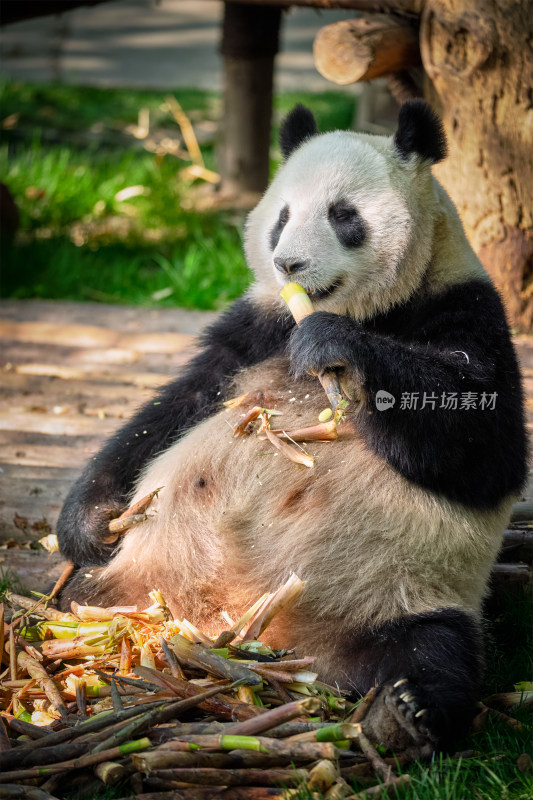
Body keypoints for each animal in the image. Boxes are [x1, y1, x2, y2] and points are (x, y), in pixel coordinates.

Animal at [56, 100, 524, 756]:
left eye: (343, 216)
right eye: (281, 218)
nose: (288, 264)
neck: (372, 310)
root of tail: (247, 633)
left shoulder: (467, 309)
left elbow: (485, 448)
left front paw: (336, 349)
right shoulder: (256, 328)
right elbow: (172, 410)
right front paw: (90, 520)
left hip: (400, 590)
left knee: (435, 650)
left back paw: (405, 713)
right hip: (129, 587)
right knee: (76, 598)